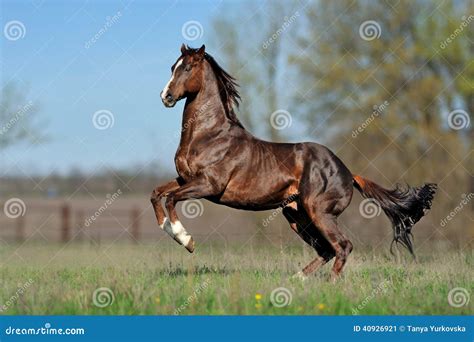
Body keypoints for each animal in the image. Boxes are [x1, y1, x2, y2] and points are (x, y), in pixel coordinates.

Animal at [152, 44, 436, 280]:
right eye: (172, 67)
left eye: (188, 67)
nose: (165, 96)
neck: (210, 135)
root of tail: (348, 173)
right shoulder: (185, 179)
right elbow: (157, 194)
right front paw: (169, 229)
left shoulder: (209, 186)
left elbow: (171, 198)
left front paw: (186, 240)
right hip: (295, 214)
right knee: (326, 250)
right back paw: (297, 279)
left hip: (318, 211)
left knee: (342, 246)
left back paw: (330, 285)